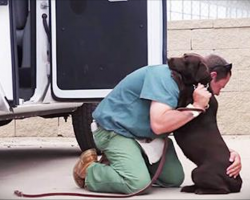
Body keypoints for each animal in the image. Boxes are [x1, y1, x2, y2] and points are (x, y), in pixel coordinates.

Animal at [168, 53, 242, 194]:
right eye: (183, 55)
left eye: (186, 59)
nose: (169, 59)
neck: (201, 85)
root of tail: (237, 182)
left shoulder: (181, 107)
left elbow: (182, 88)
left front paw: (176, 76)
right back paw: (190, 188)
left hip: (198, 172)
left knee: (223, 189)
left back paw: (200, 190)